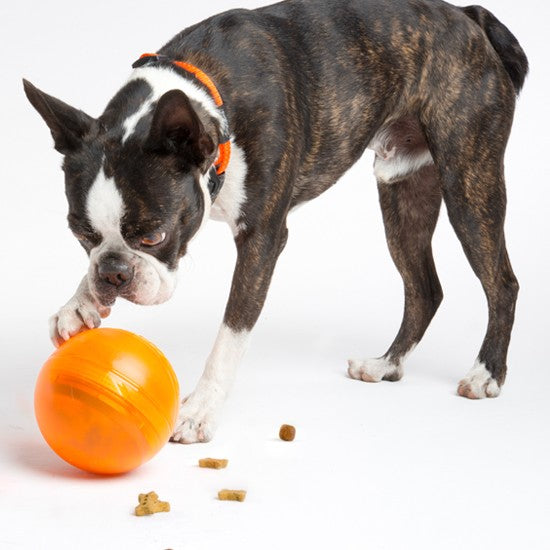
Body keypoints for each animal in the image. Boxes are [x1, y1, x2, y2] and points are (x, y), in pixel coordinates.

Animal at [22, 0, 532, 444]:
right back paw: (385, 365)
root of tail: (469, 17)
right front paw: (78, 303)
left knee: (502, 282)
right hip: (402, 191)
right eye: (81, 235)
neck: (211, 99)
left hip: (469, 181)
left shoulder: (263, 237)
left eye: (154, 235)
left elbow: (231, 332)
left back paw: (486, 373)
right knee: (424, 289)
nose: (114, 274)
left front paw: (200, 409)